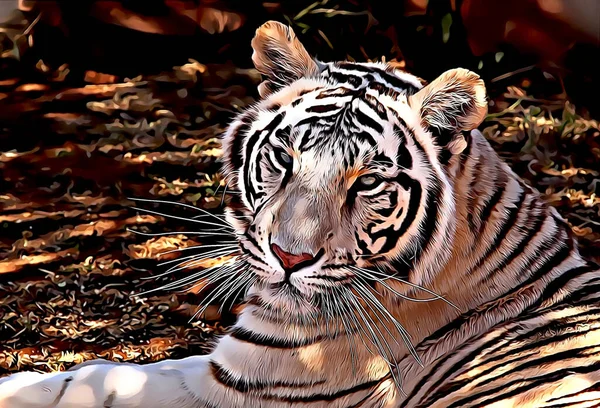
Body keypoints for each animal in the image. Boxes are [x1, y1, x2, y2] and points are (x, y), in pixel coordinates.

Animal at [1, 21, 600, 408]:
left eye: (368, 181)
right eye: (286, 157)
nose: (289, 259)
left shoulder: (247, 387)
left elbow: (110, 385)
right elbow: (101, 374)